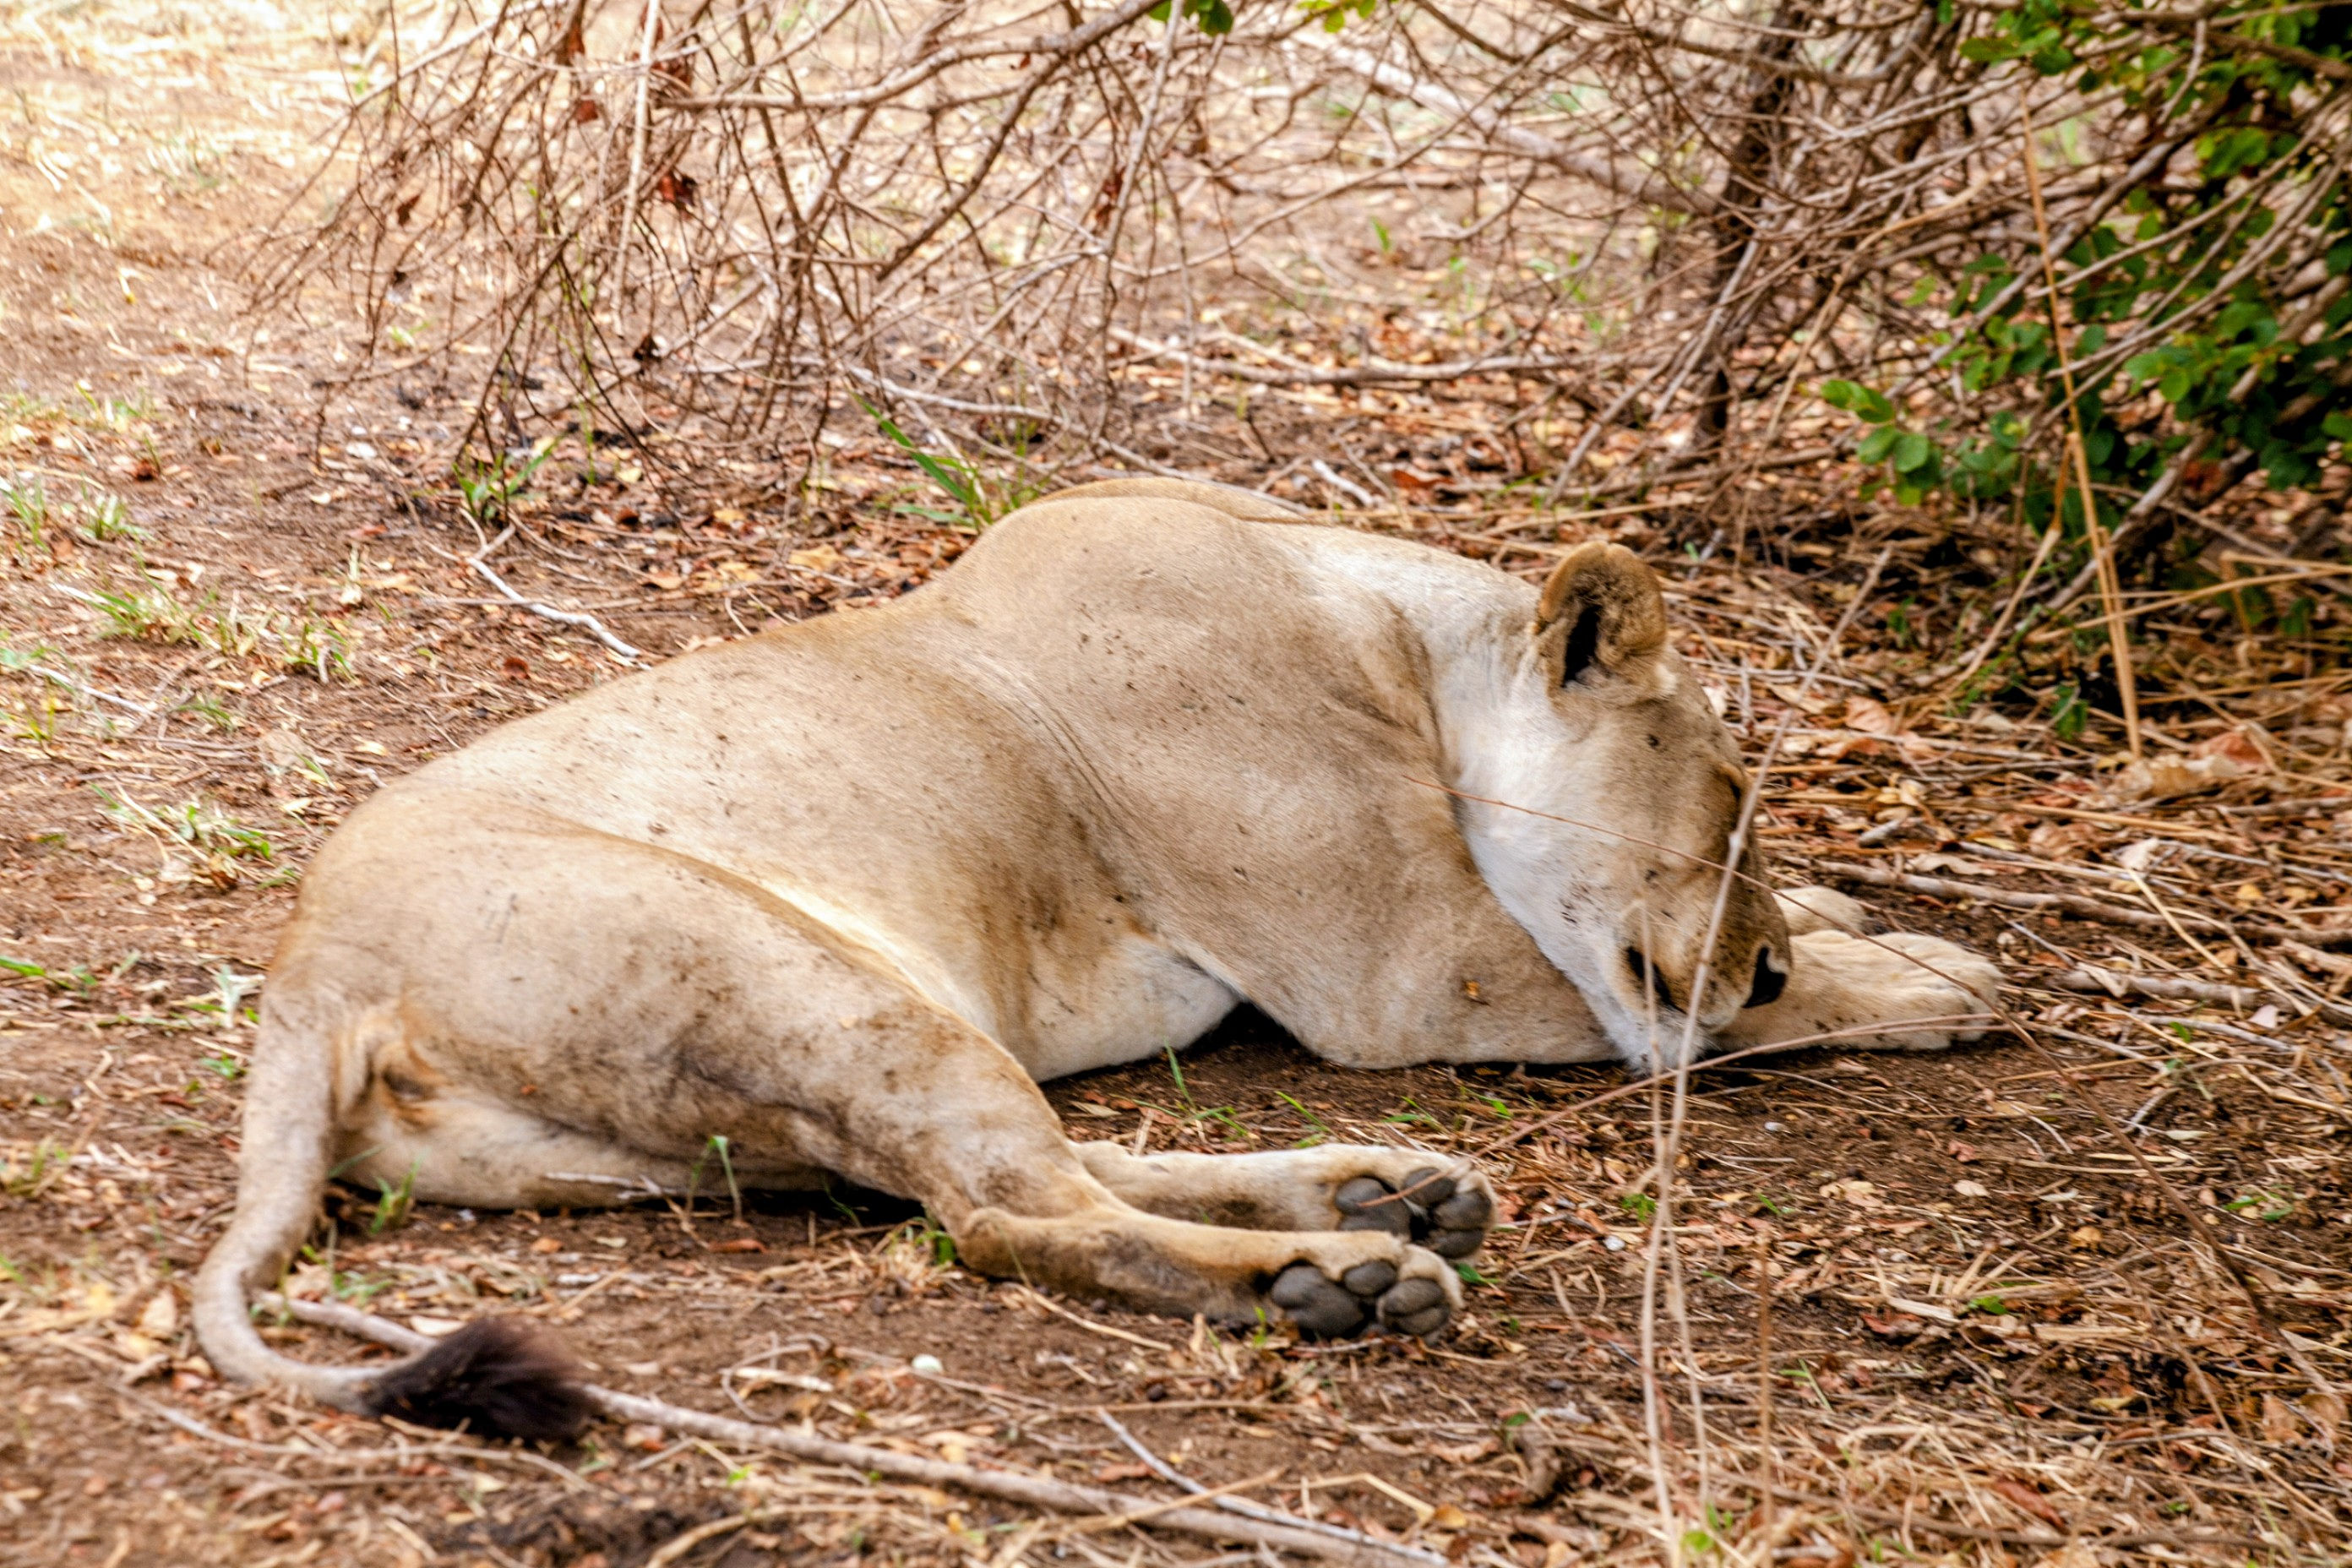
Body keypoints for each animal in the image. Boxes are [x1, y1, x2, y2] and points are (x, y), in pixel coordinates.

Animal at [193, 479, 1998, 1437]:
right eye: (1724, 798)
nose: (1753, 963)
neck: (1388, 627)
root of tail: (308, 974)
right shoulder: (1410, 973)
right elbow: (1701, 1026)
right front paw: (1930, 982)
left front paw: (1872, 928)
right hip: (794, 977)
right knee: (1007, 1211)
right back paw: (1339, 1277)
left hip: (739, 1101)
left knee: (1024, 1167)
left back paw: (1384, 1196)